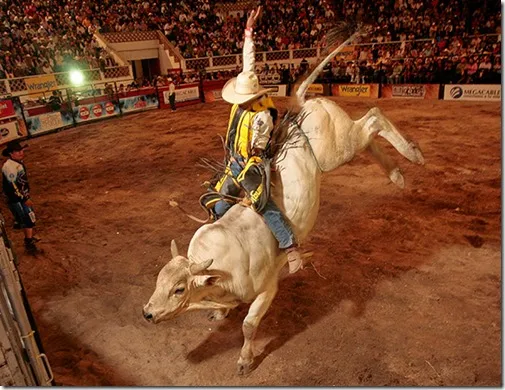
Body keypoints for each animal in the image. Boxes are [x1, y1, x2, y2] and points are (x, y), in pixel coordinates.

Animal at [144, 35, 424, 374]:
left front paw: (245, 360)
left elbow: (249, 324)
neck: (222, 267)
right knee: (368, 136)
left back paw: (412, 155)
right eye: (159, 281)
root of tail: (301, 104)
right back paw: (397, 174)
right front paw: (221, 314)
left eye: (179, 289)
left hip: (336, 148)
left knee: (373, 117)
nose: (147, 312)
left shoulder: (267, 289)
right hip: (343, 145)